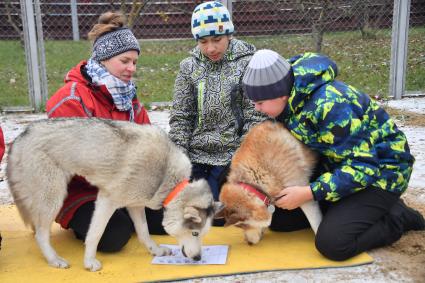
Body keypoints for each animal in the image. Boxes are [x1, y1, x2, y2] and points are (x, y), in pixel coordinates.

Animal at [7, 118, 222, 272]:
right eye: (194, 233)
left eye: (202, 234)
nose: (198, 258)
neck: (166, 177)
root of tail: (20, 137)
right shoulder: (106, 201)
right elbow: (95, 234)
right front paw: (89, 262)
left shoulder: (136, 204)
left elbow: (144, 232)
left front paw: (156, 251)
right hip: (54, 197)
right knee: (42, 234)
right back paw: (54, 259)